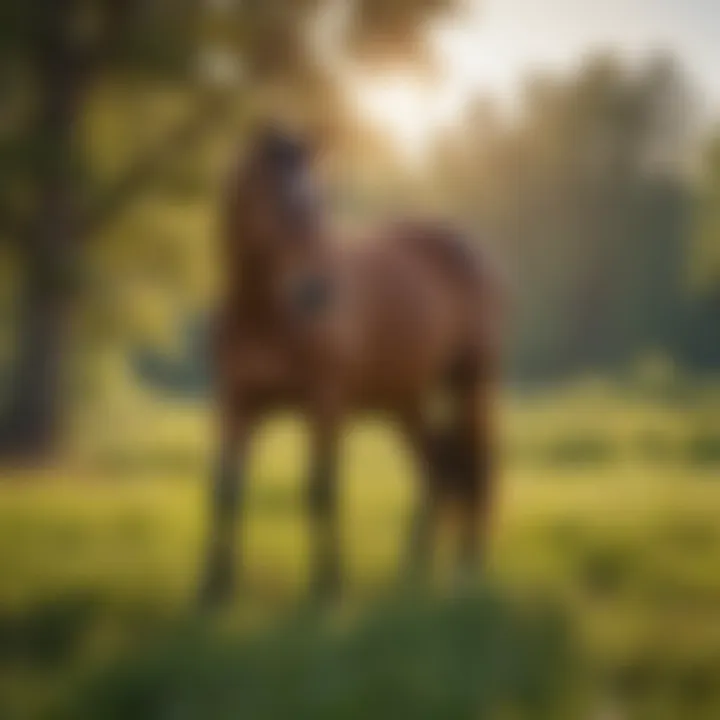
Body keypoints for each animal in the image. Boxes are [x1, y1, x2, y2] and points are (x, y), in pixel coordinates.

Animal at [197, 125, 506, 608]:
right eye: (283, 202)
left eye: (319, 203)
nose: (316, 292)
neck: (266, 316)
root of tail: (466, 249)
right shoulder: (235, 404)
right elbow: (226, 490)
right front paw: (213, 587)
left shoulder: (325, 403)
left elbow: (320, 489)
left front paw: (327, 584)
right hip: (405, 401)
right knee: (436, 468)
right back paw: (413, 570)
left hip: (470, 381)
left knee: (476, 467)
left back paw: (465, 570)